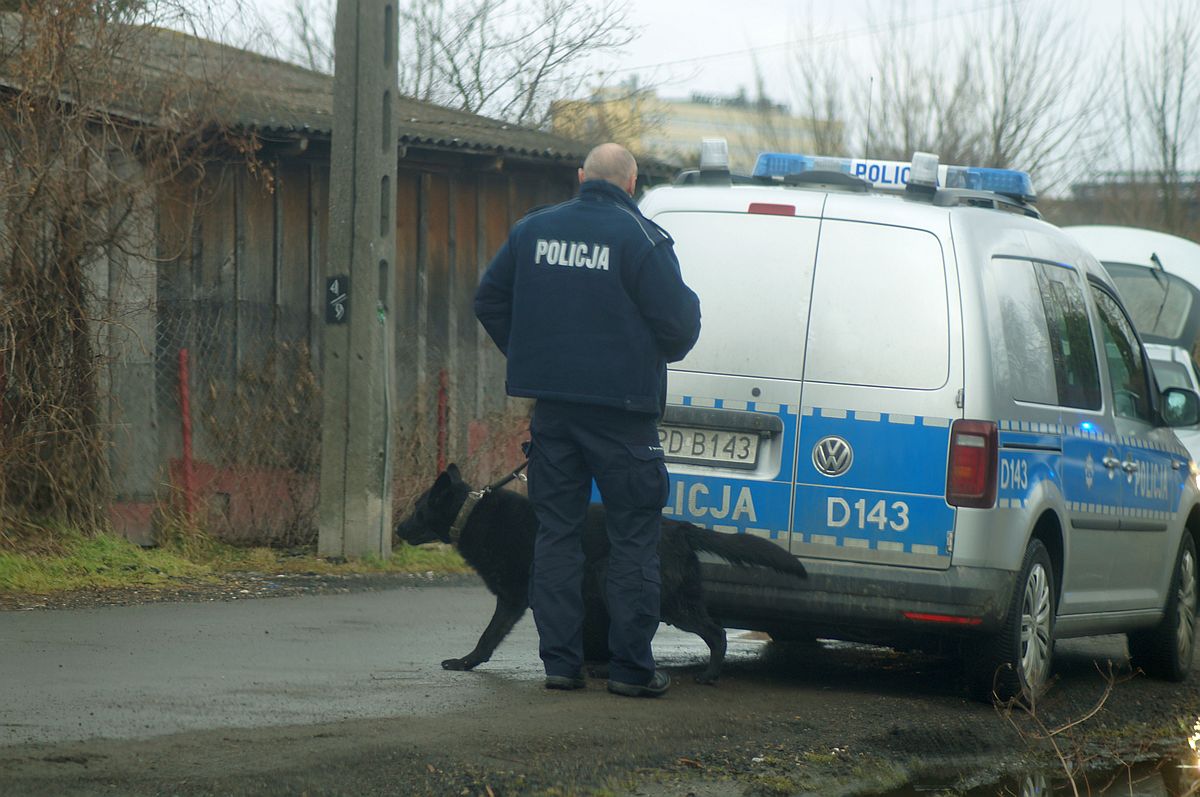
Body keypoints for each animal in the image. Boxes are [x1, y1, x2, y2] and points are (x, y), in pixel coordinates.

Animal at [398, 463, 811, 681]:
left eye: (418, 509)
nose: (398, 529)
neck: (472, 514)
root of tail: (679, 528)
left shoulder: (513, 600)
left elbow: (488, 636)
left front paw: (465, 663)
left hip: (641, 591)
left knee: (715, 633)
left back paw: (705, 675)